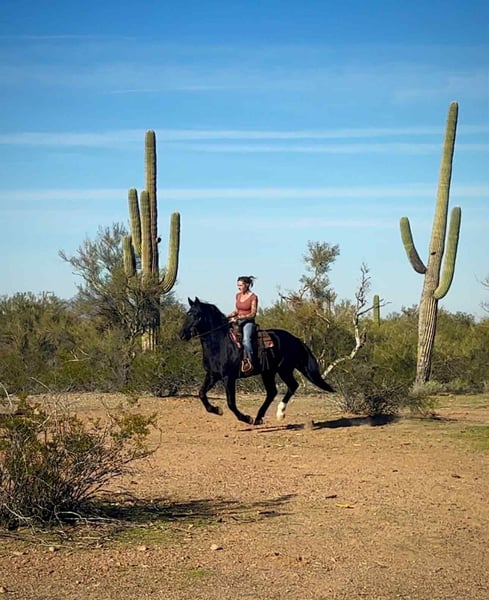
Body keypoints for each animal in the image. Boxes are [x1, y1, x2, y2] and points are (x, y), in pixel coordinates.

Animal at [179, 297, 335, 425]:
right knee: (272, 392)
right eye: (188, 313)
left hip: (284, 369)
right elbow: (201, 394)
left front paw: (246, 418)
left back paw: (279, 413)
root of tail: (295, 339)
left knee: (292, 386)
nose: (182, 334)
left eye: (195, 314)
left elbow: (231, 403)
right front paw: (216, 410)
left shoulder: (229, 377)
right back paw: (259, 417)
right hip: (268, 372)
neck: (221, 343)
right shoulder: (212, 375)